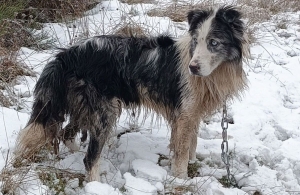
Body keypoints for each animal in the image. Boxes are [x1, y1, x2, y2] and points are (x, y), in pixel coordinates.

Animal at [14, 5, 248, 181]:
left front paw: (191, 163)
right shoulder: (184, 114)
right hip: (105, 112)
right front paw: (181, 179)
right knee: (89, 158)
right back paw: (96, 185)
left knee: (66, 134)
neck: (214, 72)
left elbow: (192, 143)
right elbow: (181, 152)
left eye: (213, 43)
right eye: (196, 41)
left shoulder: (191, 113)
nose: (193, 68)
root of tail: (67, 55)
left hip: (85, 107)